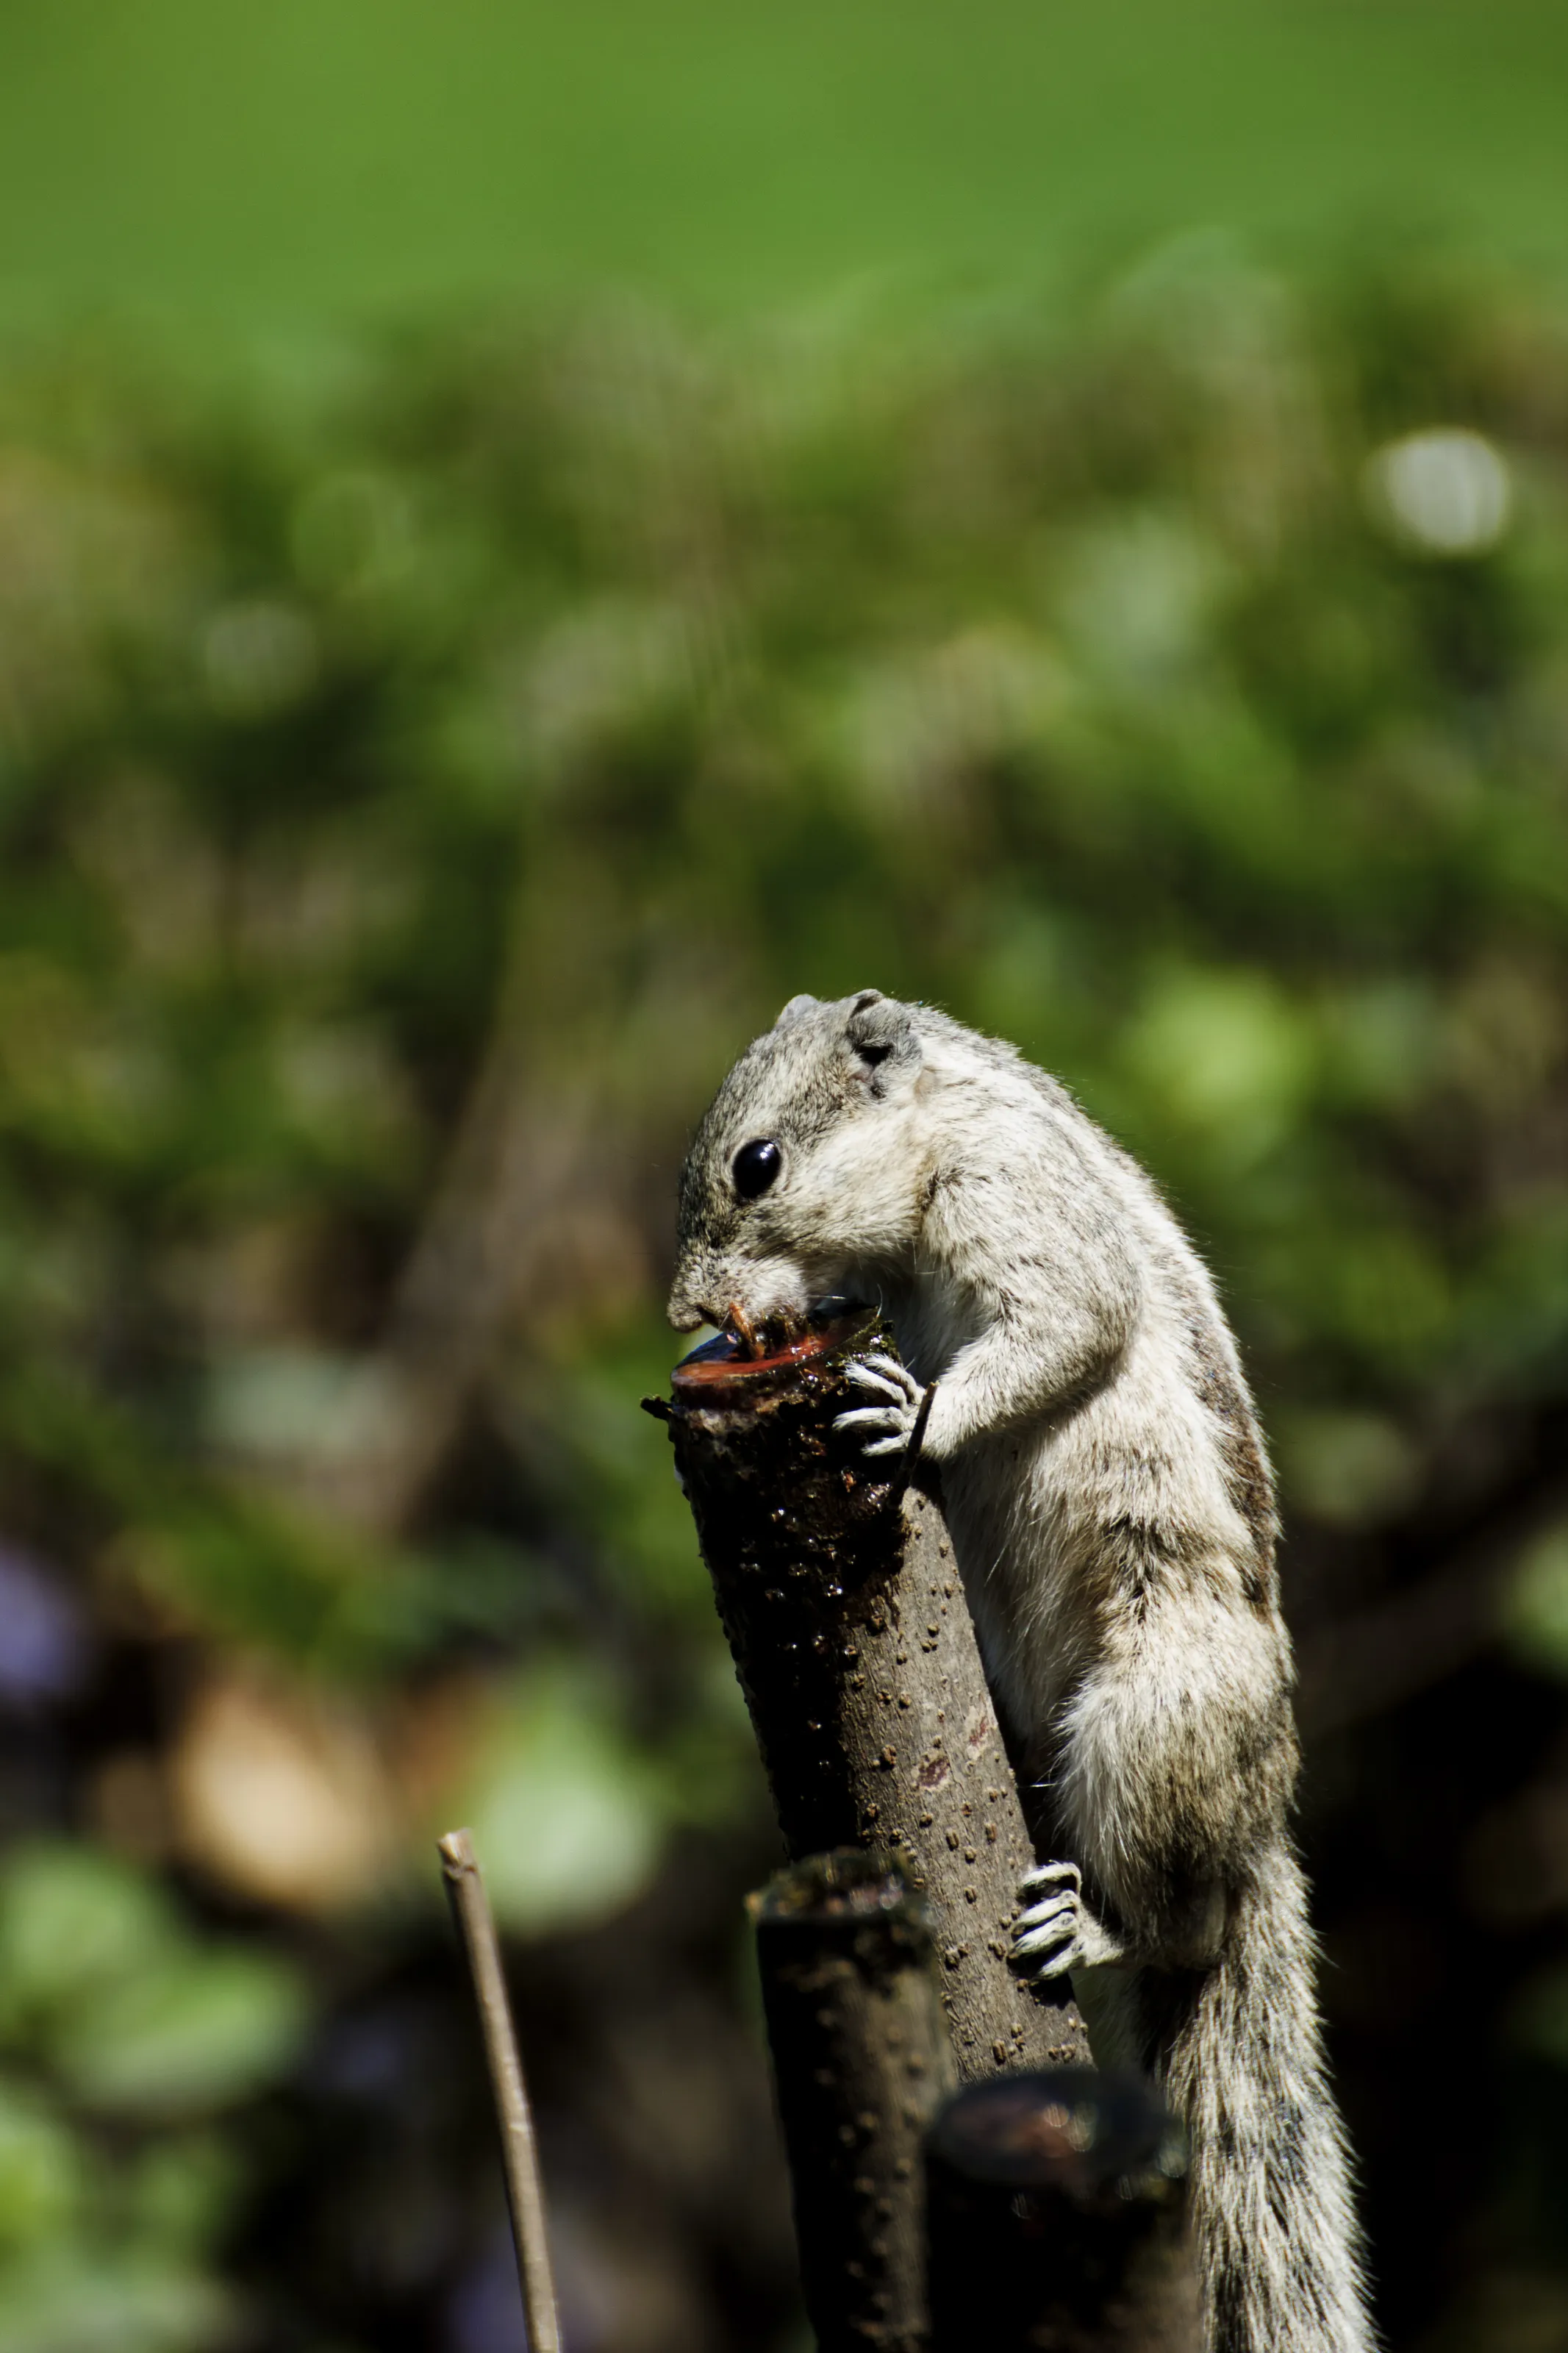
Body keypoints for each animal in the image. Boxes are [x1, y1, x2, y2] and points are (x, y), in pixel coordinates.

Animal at [668, 988, 1371, 2353]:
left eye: (756, 1164)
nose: (686, 1314)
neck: (939, 1118)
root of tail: (1259, 1817)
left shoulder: (1022, 1206)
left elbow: (1064, 1326)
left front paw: (917, 1414)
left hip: (1149, 1721)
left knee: (1185, 1927)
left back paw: (1098, 1927)